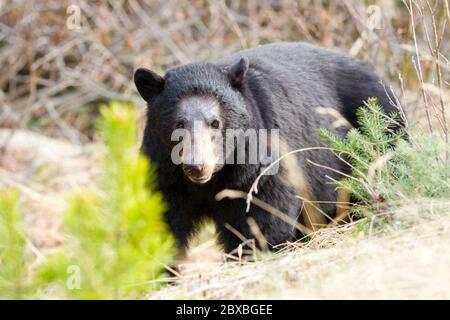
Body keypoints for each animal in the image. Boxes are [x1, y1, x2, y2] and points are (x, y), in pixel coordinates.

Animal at [134, 42, 398, 255]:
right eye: (179, 123)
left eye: (215, 123)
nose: (196, 166)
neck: (214, 179)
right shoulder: (165, 171)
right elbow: (162, 219)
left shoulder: (259, 163)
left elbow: (263, 214)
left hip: (377, 118)